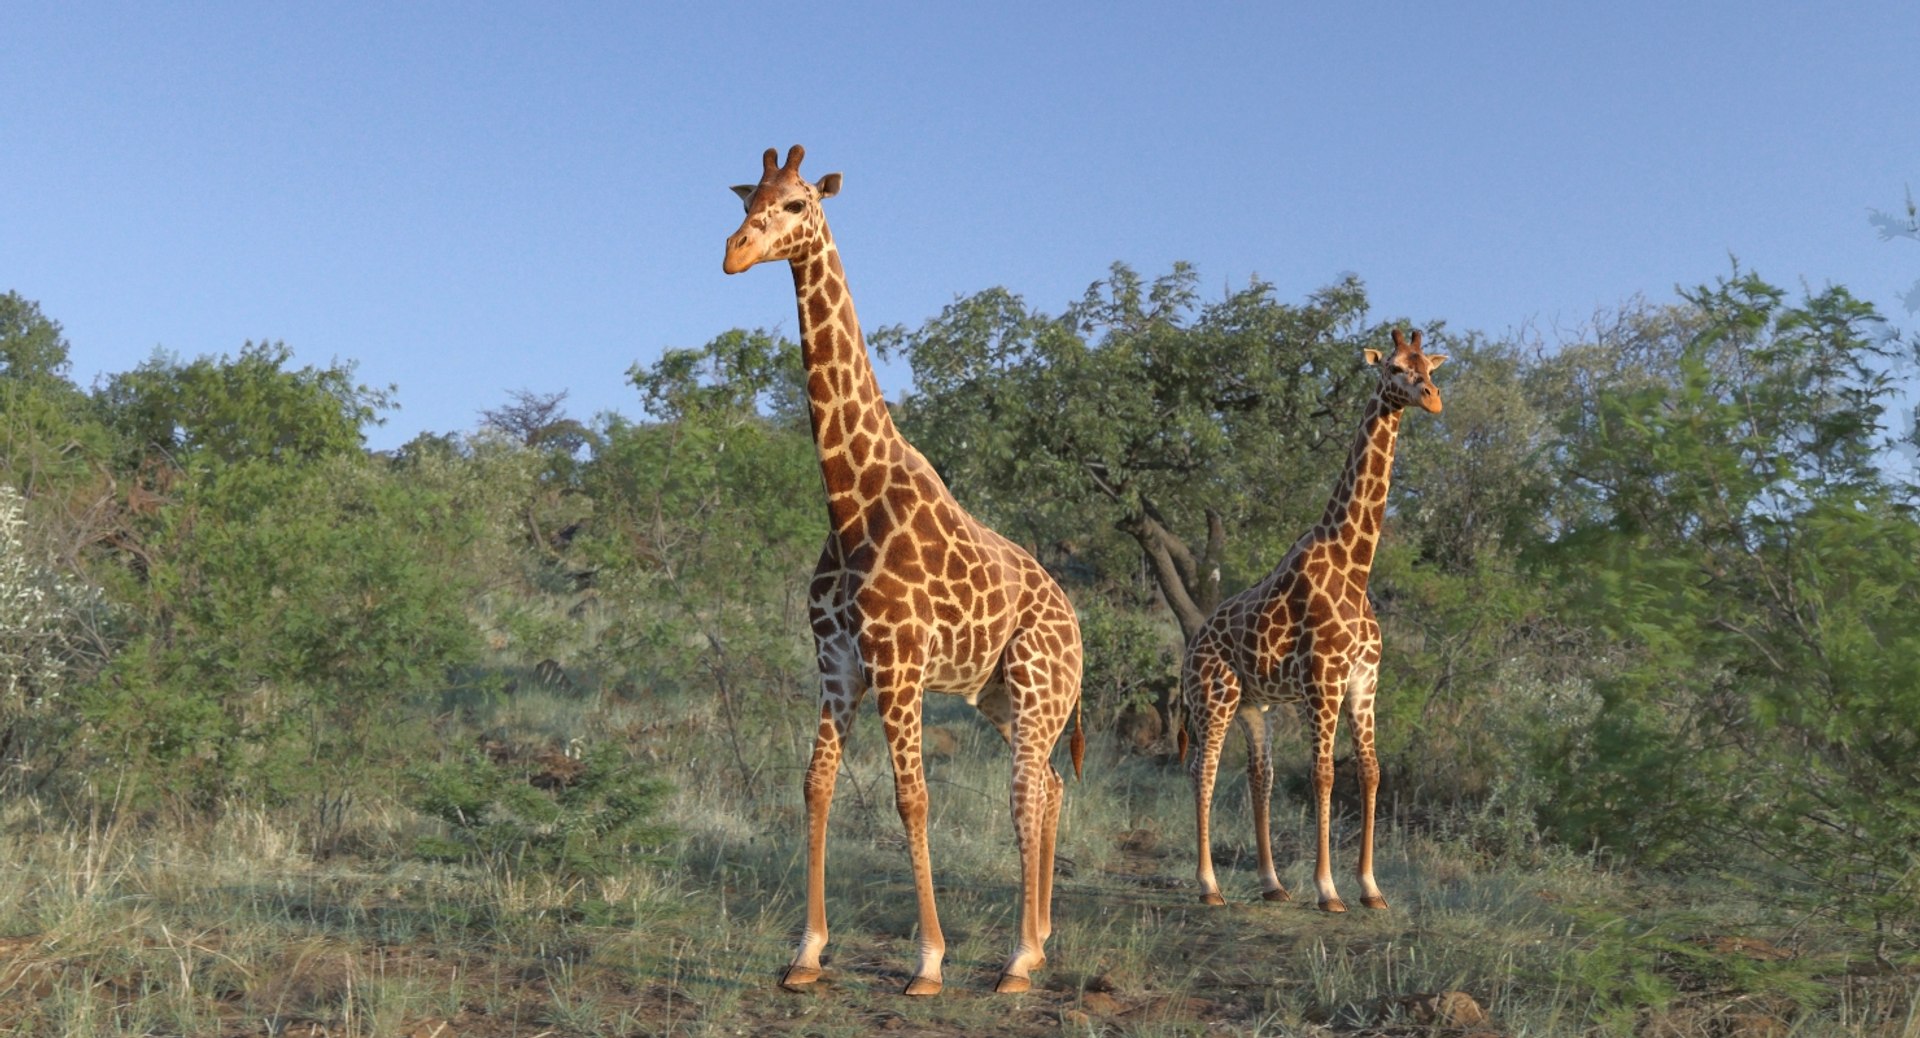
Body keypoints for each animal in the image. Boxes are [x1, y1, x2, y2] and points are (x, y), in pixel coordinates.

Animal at [722, 146, 1085, 996]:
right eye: (747, 201)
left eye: (796, 204)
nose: (733, 253)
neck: (850, 498)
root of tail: (1077, 621)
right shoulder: (836, 662)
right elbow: (817, 783)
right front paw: (807, 953)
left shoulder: (899, 663)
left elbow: (911, 797)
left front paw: (929, 960)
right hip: (999, 696)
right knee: (1049, 785)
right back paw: (1040, 938)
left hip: (1037, 686)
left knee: (1027, 790)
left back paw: (1018, 960)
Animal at [1179, 328, 1443, 911]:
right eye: (1393, 367)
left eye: (1429, 367)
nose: (1433, 398)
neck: (1355, 564)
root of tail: (1191, 646)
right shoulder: (1323, 681)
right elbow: (1323, 775)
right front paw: (1328, 890)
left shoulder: (1363, 681)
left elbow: (1369, 772)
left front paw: (1371, 888)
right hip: (1214, 696)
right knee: (1203, 769)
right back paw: (1208, 886)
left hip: (1255, 706)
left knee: (1260, 774)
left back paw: (1272, 884)